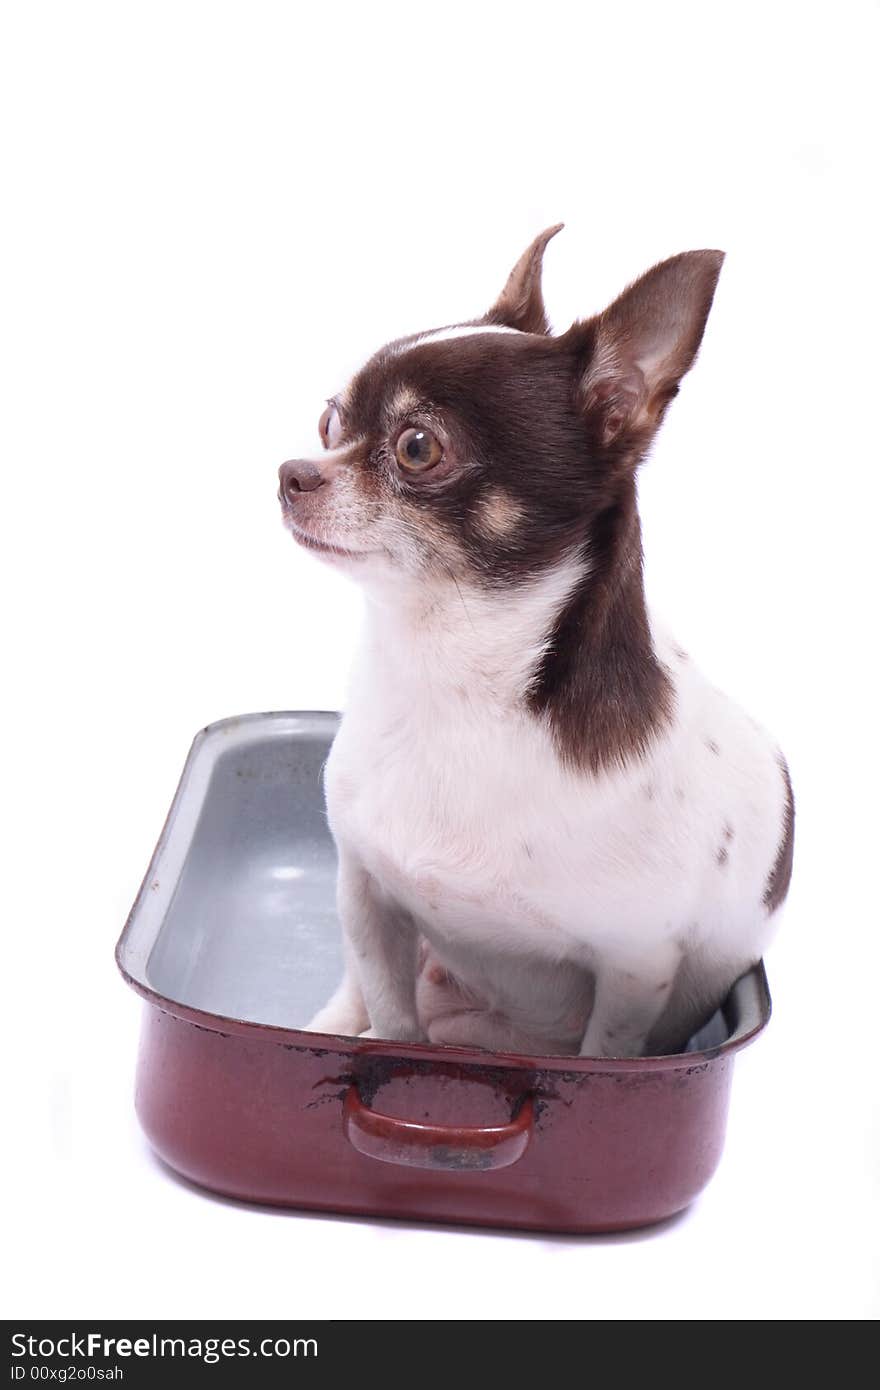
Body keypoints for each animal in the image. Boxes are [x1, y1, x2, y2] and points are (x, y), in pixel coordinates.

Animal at [278, 225, 795, 1050]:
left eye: (417, 446)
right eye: (329, 421)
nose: (292, 472)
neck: (448, 675)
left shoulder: (633, 973)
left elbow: (606, 1048)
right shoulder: (368, 894)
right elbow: (393, 1022)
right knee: (359, 996)